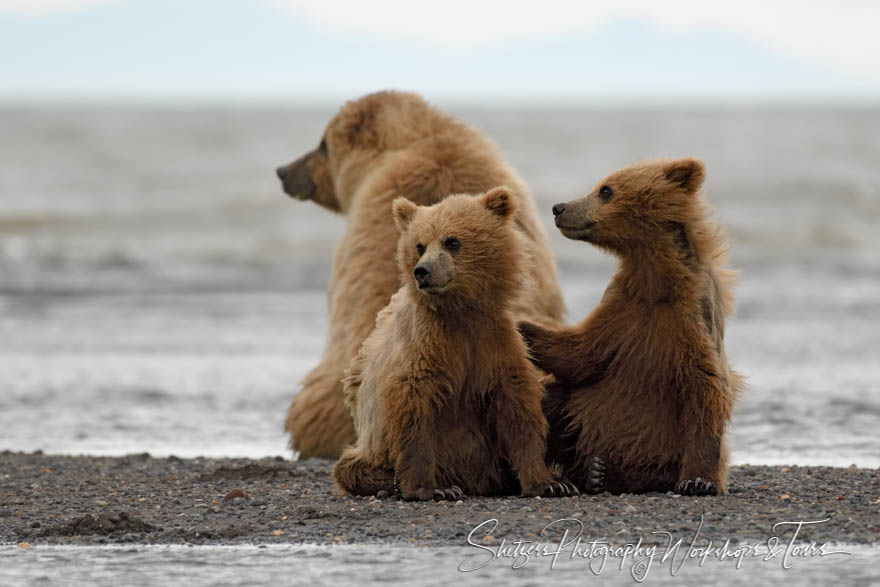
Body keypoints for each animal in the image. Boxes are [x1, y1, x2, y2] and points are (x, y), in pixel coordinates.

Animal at [332, 188, 576, 500]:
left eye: (452, 241)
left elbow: (518, 411)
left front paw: (549, 483)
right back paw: (390, 483)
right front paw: (432, 488)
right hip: (370, 443)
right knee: (350, 467)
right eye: (420, 245)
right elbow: (413, 409)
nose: (422, 271)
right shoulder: (425, 348)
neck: (461, 312)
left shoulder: (494, 345)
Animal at [520, 157, 744, 496]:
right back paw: (591, 472)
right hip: (580, 415)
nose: (559, 208)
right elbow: (580, 356)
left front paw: (699, 480)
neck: (654, 283)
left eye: (605, 190)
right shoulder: (621, 310)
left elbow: (706, 390)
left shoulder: (691, 319)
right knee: (554, 401)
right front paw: (521, 327)